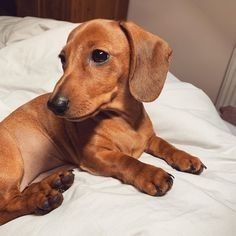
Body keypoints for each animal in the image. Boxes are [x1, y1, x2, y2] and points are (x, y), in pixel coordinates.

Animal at [0, 19, 206, 224]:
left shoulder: (149, 139)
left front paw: (186, 157)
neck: (123, 120)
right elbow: (125, 160)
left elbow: (165, 144)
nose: (53, 105)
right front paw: (151, 173)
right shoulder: (93, 154)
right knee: (7, 205)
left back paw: (53, 182)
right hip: (13, 162)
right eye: (63, 59)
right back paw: (40, 199)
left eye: (99, 55)